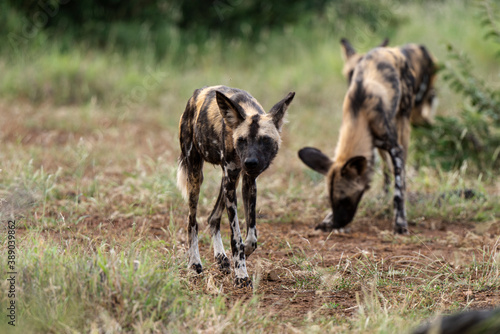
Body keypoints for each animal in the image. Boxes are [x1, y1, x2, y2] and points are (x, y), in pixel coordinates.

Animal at [177, 85, 292, 286]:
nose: (250, 162)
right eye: (242, 140)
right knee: (192, 222)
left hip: (230, 180)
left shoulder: (247, 181)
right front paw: (241, 273)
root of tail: (195, 95)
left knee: (213, 218)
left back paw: (221, 258)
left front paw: (243, 254)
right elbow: (236, 237)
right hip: (197, 175)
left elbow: (251, 237)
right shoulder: (231, 180)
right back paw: (195, 263)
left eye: (265, 140)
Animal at [298, 39, 440, 234]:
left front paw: (400, 223)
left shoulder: (395, 148)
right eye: (331, 200)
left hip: (406, 123)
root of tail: (393, 50)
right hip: (380, 147)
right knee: (387, 171)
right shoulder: (371, 147)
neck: (359, 113)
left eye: (345, 199)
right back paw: (384, 197)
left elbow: (398, 192)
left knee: (401, 172)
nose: (337, 224)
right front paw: (327, 219)